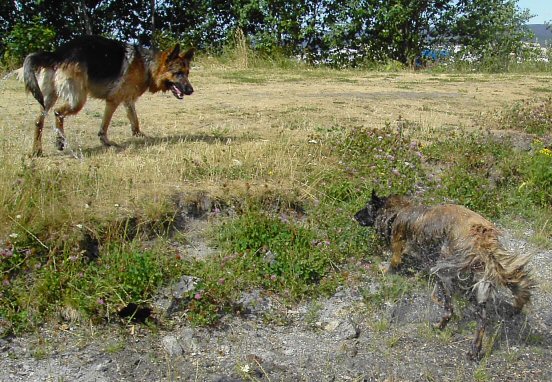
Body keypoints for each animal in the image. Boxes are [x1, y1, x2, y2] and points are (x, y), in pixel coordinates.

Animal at [356, 192, 532, 360]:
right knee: (484, 315)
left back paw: (440, 326)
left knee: (450, 309)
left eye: (367, 207)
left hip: (444, 271)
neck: (398, 211)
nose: (354, 215)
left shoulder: (398, 251)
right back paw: (477, 347)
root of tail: (480, 234)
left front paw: (380, 269)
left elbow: (390, 266)